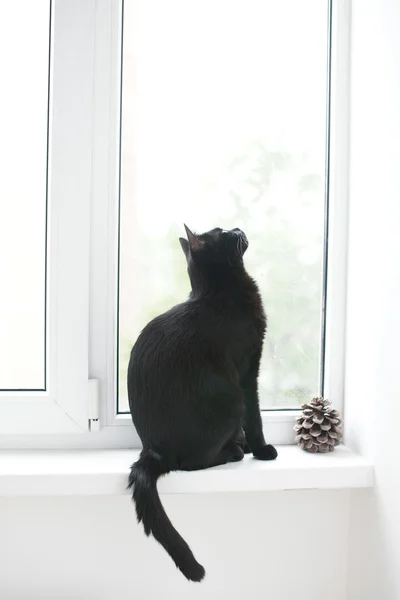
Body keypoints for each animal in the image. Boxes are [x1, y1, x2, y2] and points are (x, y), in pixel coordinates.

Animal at [128, 225, 278, 580]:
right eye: (222, 232)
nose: (238, 228)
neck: (218, 293)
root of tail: (152, 451)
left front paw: (249, 445)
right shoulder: (247, 371)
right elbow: (256, 418)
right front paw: (261, 449)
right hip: (232, 400)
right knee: (191, 462)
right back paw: (233, 451)